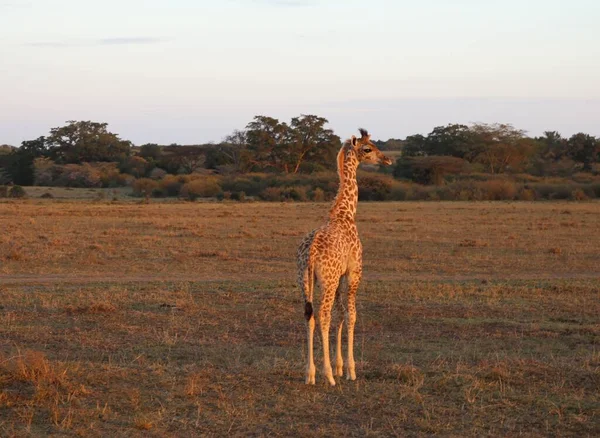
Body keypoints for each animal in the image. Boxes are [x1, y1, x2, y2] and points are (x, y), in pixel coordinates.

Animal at [296, 127, 394, 384]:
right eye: (367, 149)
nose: (387, 159)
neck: (346, 213)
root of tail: (310, 254)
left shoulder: (340, 276)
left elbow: (340, 314)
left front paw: (340, 366)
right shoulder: (354, 272)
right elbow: (351, 315)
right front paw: (350, 369)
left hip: (304, 281)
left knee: (310, 315)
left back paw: (310, 374)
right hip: (327, 282)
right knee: (323, 315)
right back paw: (327, 376)